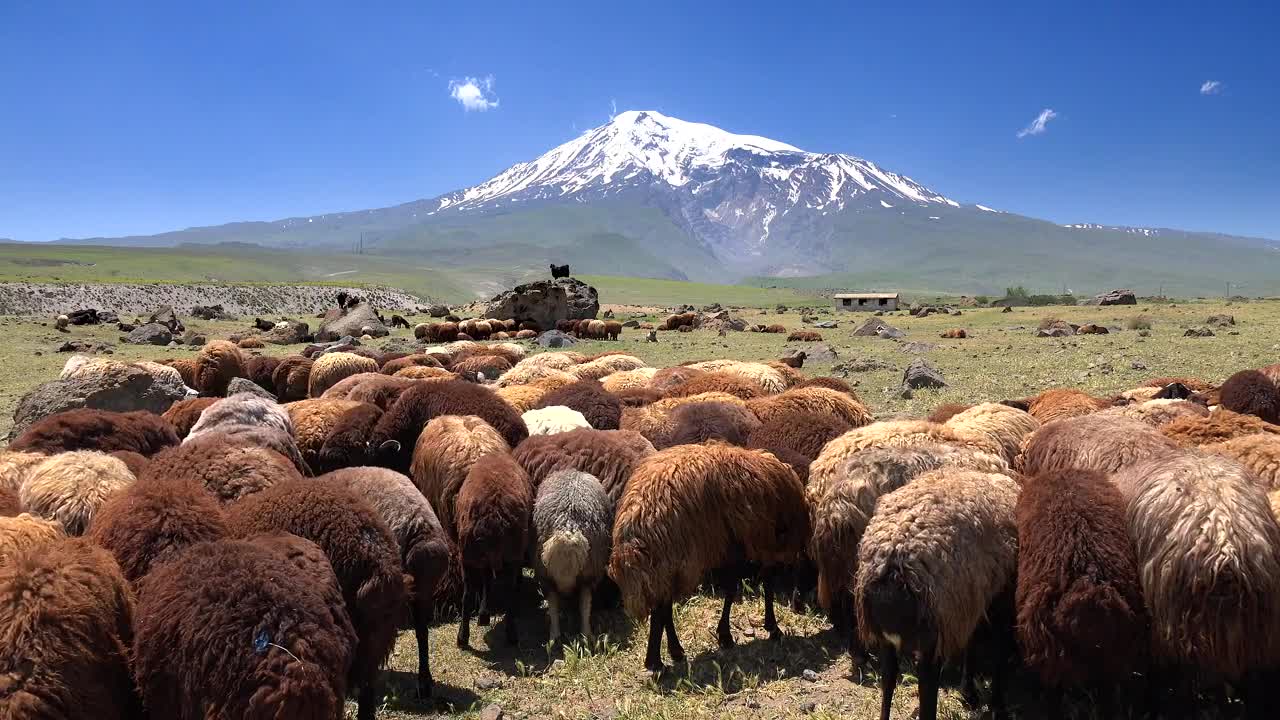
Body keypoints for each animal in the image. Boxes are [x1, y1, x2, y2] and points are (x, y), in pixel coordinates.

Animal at [532, 469, 613, 642]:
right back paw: (583, 633)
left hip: (553, 572)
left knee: (559, 602)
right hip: (588, 570)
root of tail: (568, 526)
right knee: (583, 602)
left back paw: (557, 635)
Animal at [609, 443, 809, 671]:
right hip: (672, 560)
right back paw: (656, 662)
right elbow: (751, 587)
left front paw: (728, 634)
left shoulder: (734, 548)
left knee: (664, 608)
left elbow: (736, 588)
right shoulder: (751, 545)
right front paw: (767, 628)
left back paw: (674, 652)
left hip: (666, 567)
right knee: (661, 610)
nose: (799, 604)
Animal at [855, 469, 1020, 720]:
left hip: (896, 636)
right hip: (931, 637)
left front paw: (971, 694)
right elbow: (999, 651)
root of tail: (894, 563)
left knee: (888, 679)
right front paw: (995, 705)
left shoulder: (971, 602)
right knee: (926, 697)